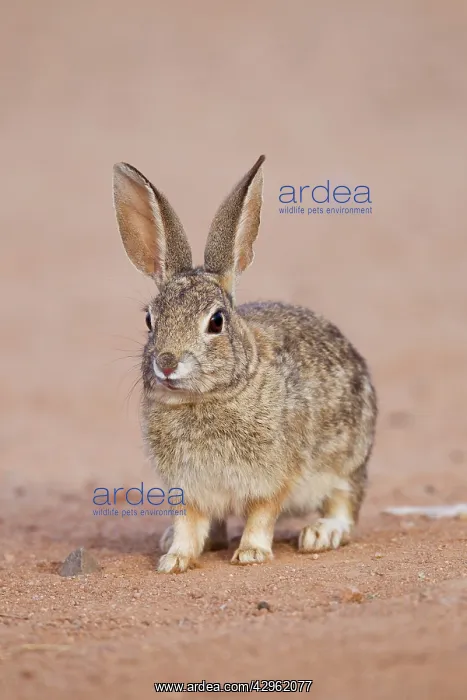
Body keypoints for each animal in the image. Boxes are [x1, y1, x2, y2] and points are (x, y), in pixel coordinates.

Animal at [112, 155, 377, 574]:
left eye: (216, 321)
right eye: (150, 320)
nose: (167, 362)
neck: (203, 400)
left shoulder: (273, 477)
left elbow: (261, 515)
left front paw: (251, 554)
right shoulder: (187, 488)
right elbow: (188, 522)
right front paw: (175, 559)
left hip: (348, 461)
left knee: (344, 504)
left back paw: (320, 534)